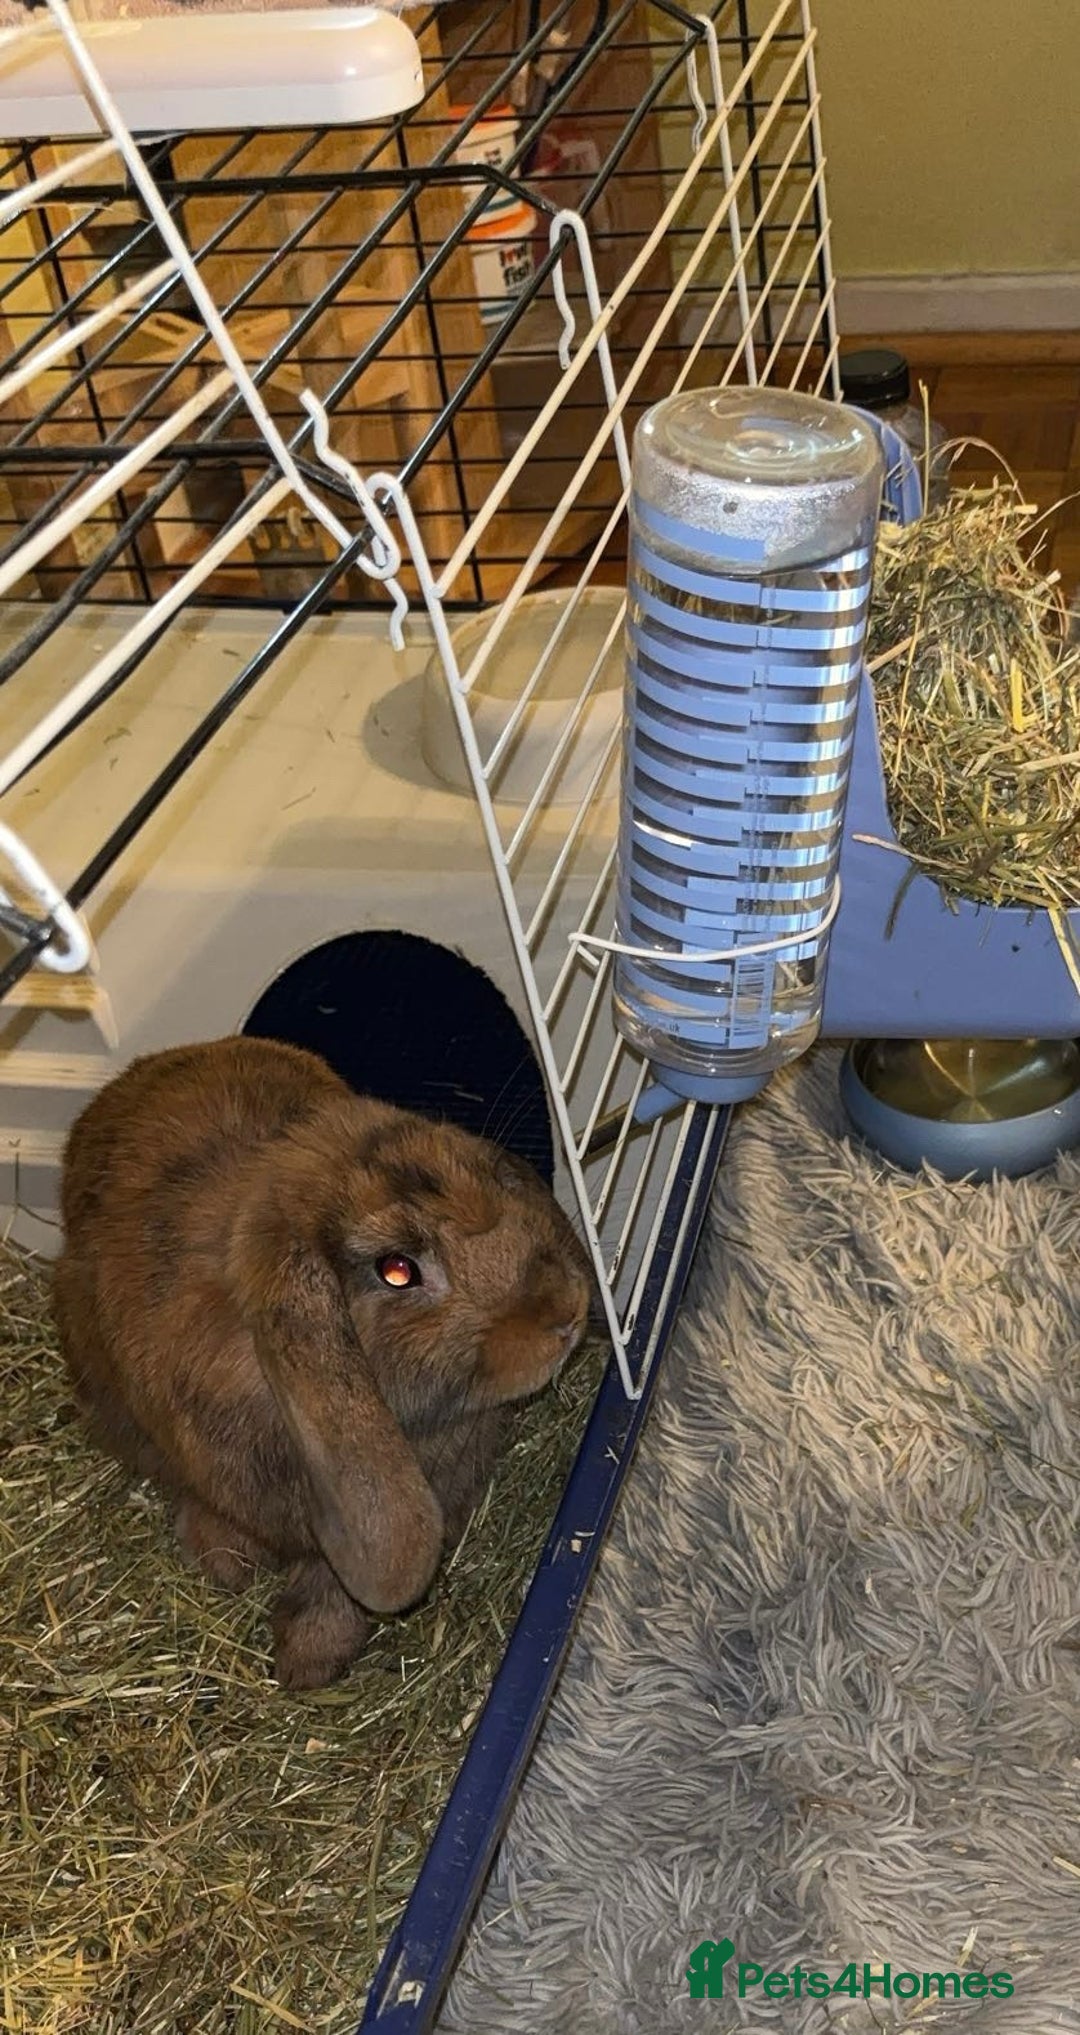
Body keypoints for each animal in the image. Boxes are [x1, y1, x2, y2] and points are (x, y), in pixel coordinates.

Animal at [54, 1034, 592, 1691]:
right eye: (397, 1270)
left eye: (495, 1183)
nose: (567, 1312)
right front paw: (228, 1570)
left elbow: (331, 1589)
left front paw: (306, 1663)